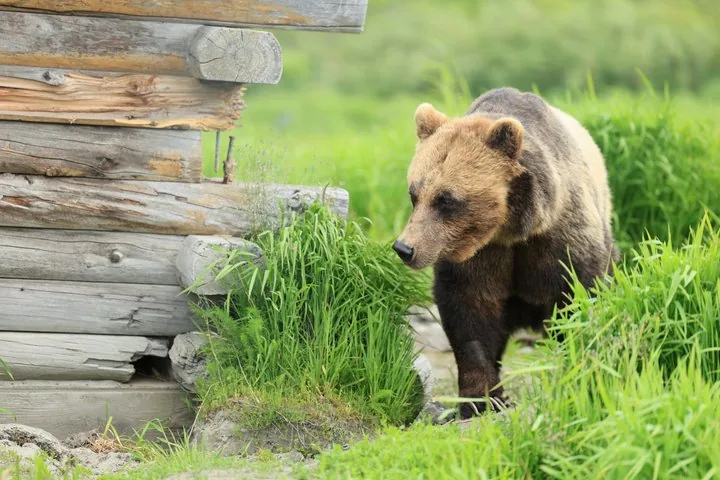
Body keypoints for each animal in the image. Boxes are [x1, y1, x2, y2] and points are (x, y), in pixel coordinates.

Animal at [392, 87, 619, 419]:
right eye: (414, 193)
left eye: (446, 199)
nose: (405, 248)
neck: (511, 228)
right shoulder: (479, 256)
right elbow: (470, 316)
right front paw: (481, 399)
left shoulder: (558, 239)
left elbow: (578, 296)